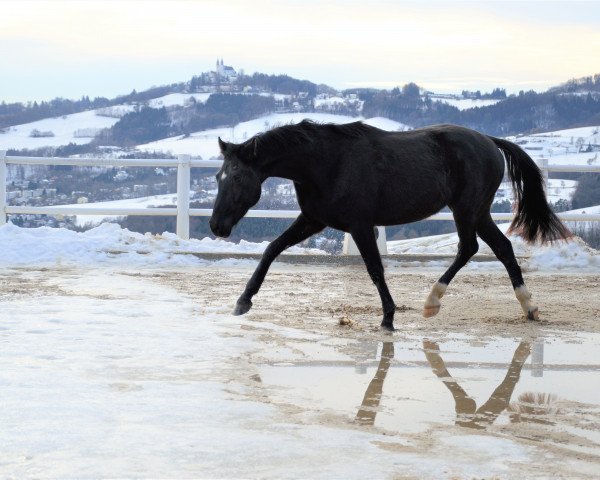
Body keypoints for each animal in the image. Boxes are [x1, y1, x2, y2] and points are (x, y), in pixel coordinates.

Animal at [209, 120, 568, 330]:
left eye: (237, 177)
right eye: (217, 177)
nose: (216, 226)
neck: (325, 162)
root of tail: (490, 141)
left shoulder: (360, 225)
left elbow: (375, 269)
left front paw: (388, 318)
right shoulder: (313, 220)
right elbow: (272, 249)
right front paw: (243, 302)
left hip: (466, 209)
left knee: (470, 247)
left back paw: (432, 303)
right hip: (478, 212)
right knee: (501, 248)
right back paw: (530, 308)